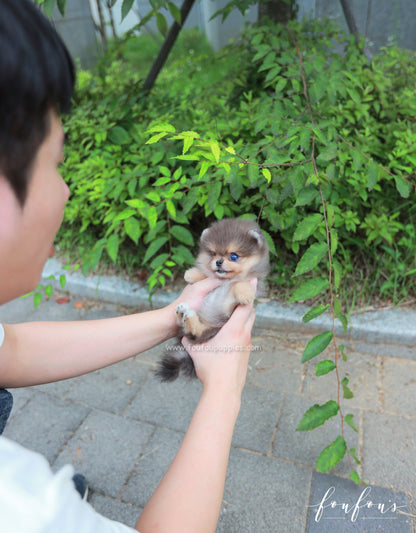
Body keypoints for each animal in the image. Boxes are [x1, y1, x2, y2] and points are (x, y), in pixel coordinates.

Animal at [156, 218, 270, 380]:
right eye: (213, 254)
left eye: (233, 256)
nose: (218, 262)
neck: (225, 281)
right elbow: (206, 274)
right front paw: (192, 274)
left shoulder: (233, 302)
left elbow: (239, 284)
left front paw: (245, 294)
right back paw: (182, 314)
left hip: (213, 330)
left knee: (196, 333)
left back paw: (186, 316)